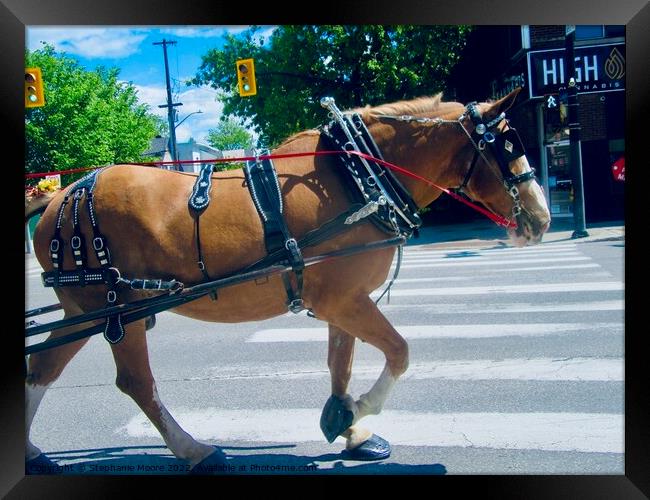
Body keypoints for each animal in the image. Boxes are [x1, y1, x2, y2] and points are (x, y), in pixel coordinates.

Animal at [27, 88, 548, 470]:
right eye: (505, 147)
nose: (542, 218)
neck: (357, 177)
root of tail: (60, 197)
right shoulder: (343, 299)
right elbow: (399, 353)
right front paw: (359, 409)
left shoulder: (345, 300)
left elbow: (341, 362)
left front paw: (347, 426)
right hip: (119, 311)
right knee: (136, 382)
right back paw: (195, 450)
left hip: (85, 312)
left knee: (42, 370)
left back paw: (31, 452)